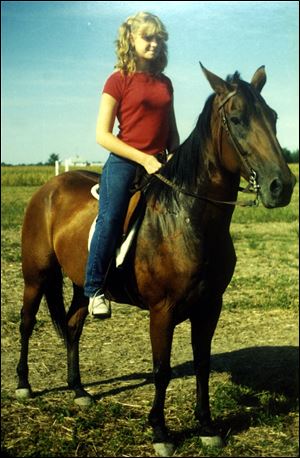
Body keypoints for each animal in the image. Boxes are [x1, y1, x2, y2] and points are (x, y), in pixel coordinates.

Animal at [15, 64, 296, 454]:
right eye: (237, 119)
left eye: (273, 116)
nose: (281, 186)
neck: (186, 219)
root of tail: (49, 188)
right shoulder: (162, 311)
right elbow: (161, 370)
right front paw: (161, 432)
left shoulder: (210, 306)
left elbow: (203, 363)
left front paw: (206, 426)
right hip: (36, 275)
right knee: (26, 323)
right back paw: (23, 385)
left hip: (82, 283)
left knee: (72, 326)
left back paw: (79, 390)